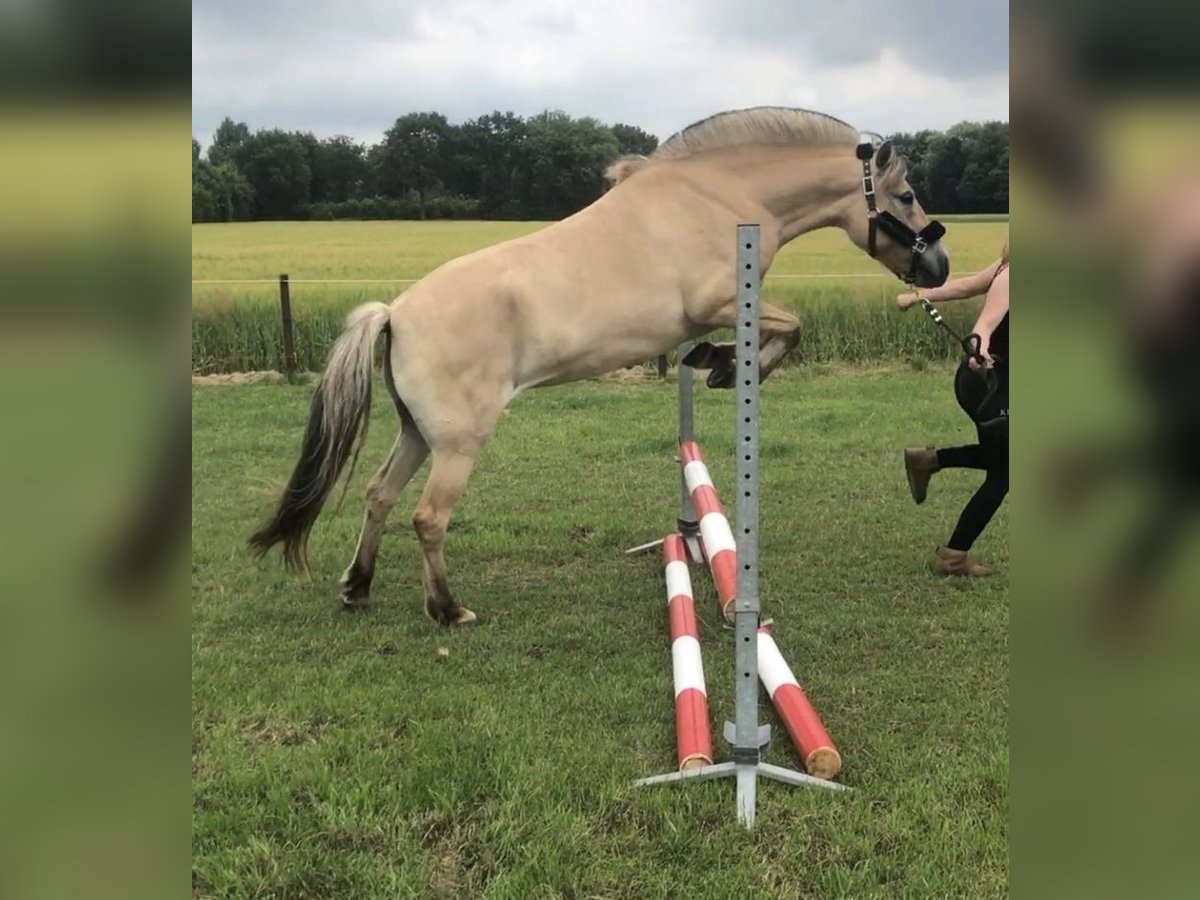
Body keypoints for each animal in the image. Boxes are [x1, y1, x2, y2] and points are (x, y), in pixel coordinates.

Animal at [248, 105, 950, 628]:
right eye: (906, 195)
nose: (937, 268)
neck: (718, 195)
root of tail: (395, 312)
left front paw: (714, 361)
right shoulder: (721, 303)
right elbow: (791, 327)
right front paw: (725, 365)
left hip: (417, 433)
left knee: (378, 496)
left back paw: (358, 589)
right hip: (458, 442)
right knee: (427, 517)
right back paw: (447, 611)